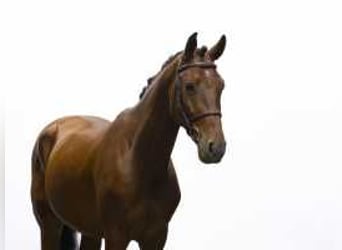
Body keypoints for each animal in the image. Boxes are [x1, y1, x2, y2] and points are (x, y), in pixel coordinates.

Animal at [30, 33, 227, 250]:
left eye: (221, 86)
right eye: (189, 86)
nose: (216, 147)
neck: (138, 162)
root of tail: (52, 129)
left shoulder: (156, 237)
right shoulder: (116, 235)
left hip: (90, 231)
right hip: (49, 224)